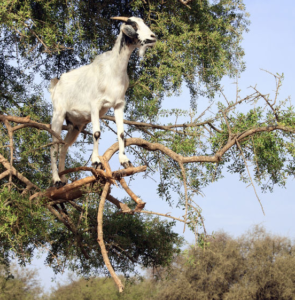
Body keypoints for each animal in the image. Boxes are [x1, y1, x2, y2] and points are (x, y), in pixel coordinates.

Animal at [50, 16, 157, 188]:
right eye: (133, 25)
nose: (153, 37)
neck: (113, 71)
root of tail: (56, 85)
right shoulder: (95, 105)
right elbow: (96, 133)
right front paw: (95, 161)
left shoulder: (119, 105)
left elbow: (121, 133)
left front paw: (124, 161)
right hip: (58, 115)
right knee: (54, 145)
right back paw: (56, 180)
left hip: (76, 125)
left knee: (64, 146)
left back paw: (64, 178)